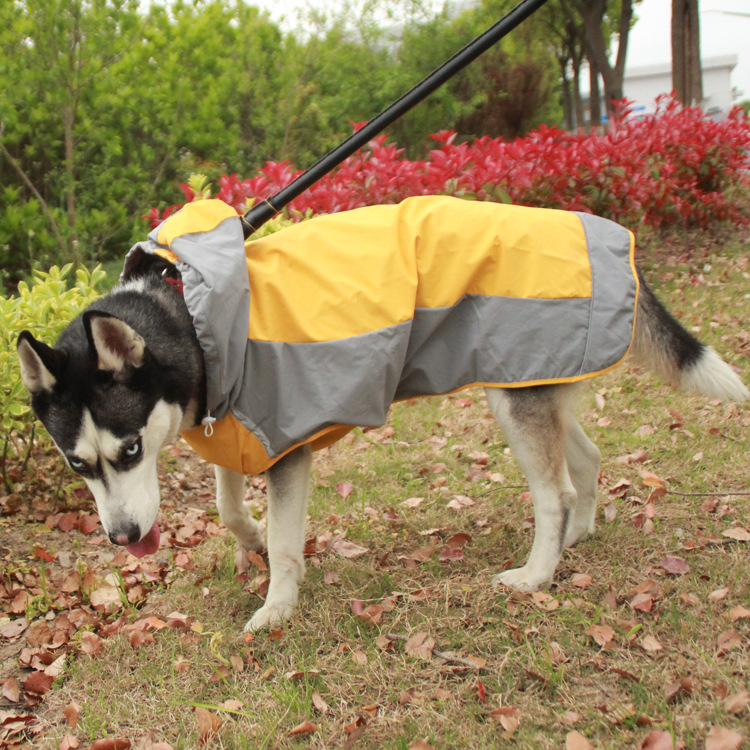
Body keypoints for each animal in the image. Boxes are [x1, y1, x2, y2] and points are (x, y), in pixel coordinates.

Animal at [14, 201, 748, 636]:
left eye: (130, 451)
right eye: (78, 465)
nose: (124, 537)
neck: (190, 319)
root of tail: (601, 234)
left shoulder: (285, 449)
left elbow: (286, 544)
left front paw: (277, 606)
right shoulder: (232, 430)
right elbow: (227, 503)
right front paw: (249, 538)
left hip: (512, 400)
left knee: (555, 494)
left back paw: (538, 573)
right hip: (533, 386)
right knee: (588, 462)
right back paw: (579, 537)